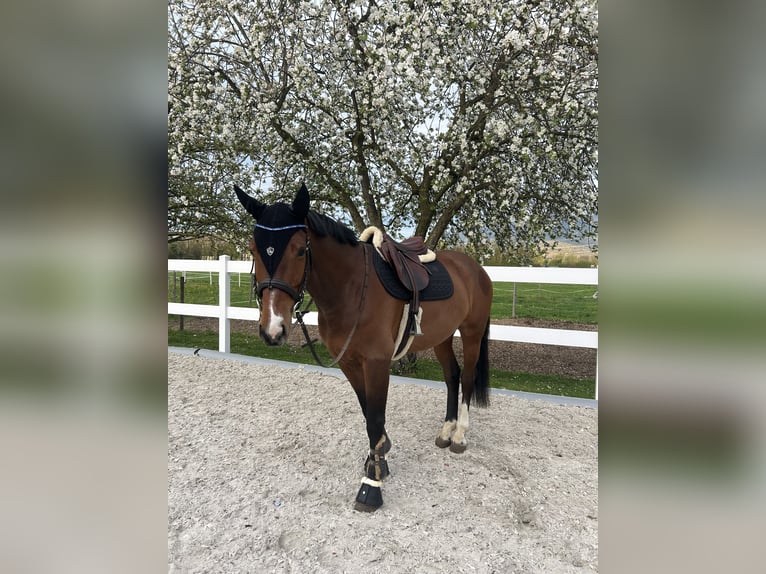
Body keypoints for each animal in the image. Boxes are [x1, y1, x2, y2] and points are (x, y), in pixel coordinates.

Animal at [232, 184, 492, 512]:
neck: (352, 288)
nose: (273, 329)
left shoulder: (377, 362)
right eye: (253, 249)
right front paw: (379, 459)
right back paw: (446, 430)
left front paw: (371, 485)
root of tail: (474, 268)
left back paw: (459, 436)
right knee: (452, 376)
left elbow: (375, 419)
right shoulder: (349, 362)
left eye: (300, 250)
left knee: (467, 377)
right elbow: (368, 413)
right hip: (442, 336)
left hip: (471, 333)